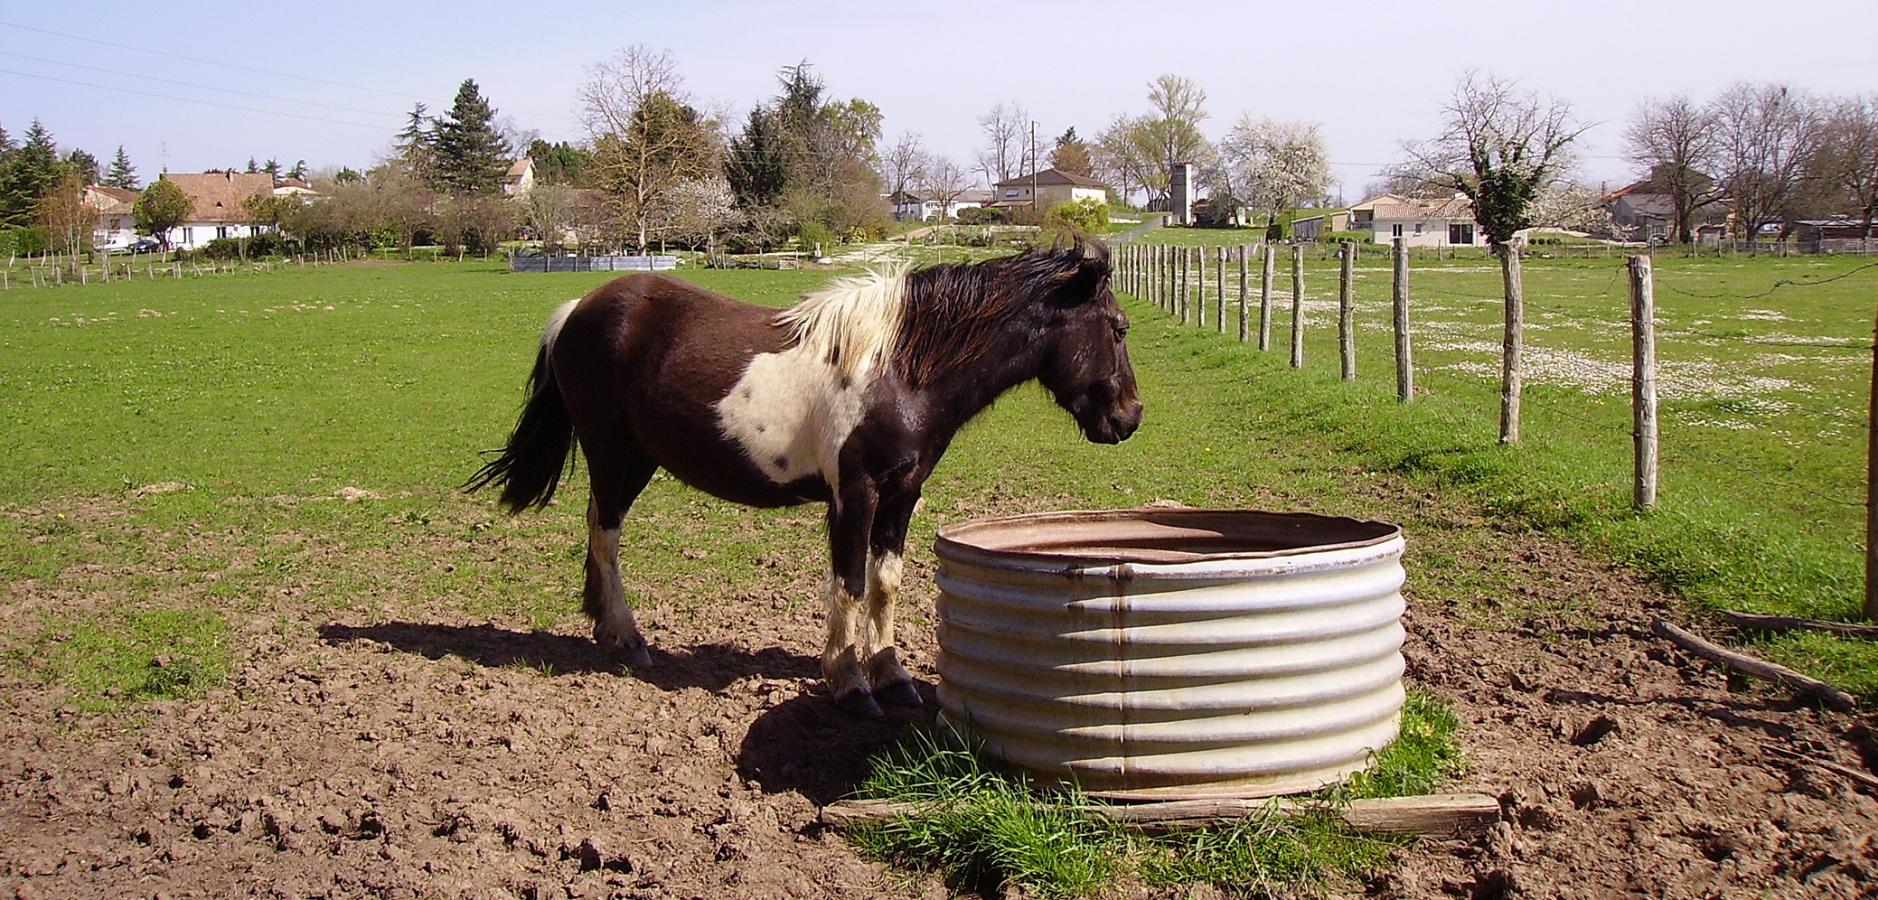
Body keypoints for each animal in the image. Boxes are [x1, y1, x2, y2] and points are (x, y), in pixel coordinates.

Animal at [469, 237, 1141, 717]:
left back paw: (607, 630)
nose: (1128, 417)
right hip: (617, 458)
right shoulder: (855, 495)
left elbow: (885, 582)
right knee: (605, 538)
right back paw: (630, 639)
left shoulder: (903, 493)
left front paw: (892, 675)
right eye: (1118, 327)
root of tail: (576, 310)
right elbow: (848, 583)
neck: (899, 368)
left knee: (596, 535)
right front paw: (849, 684)